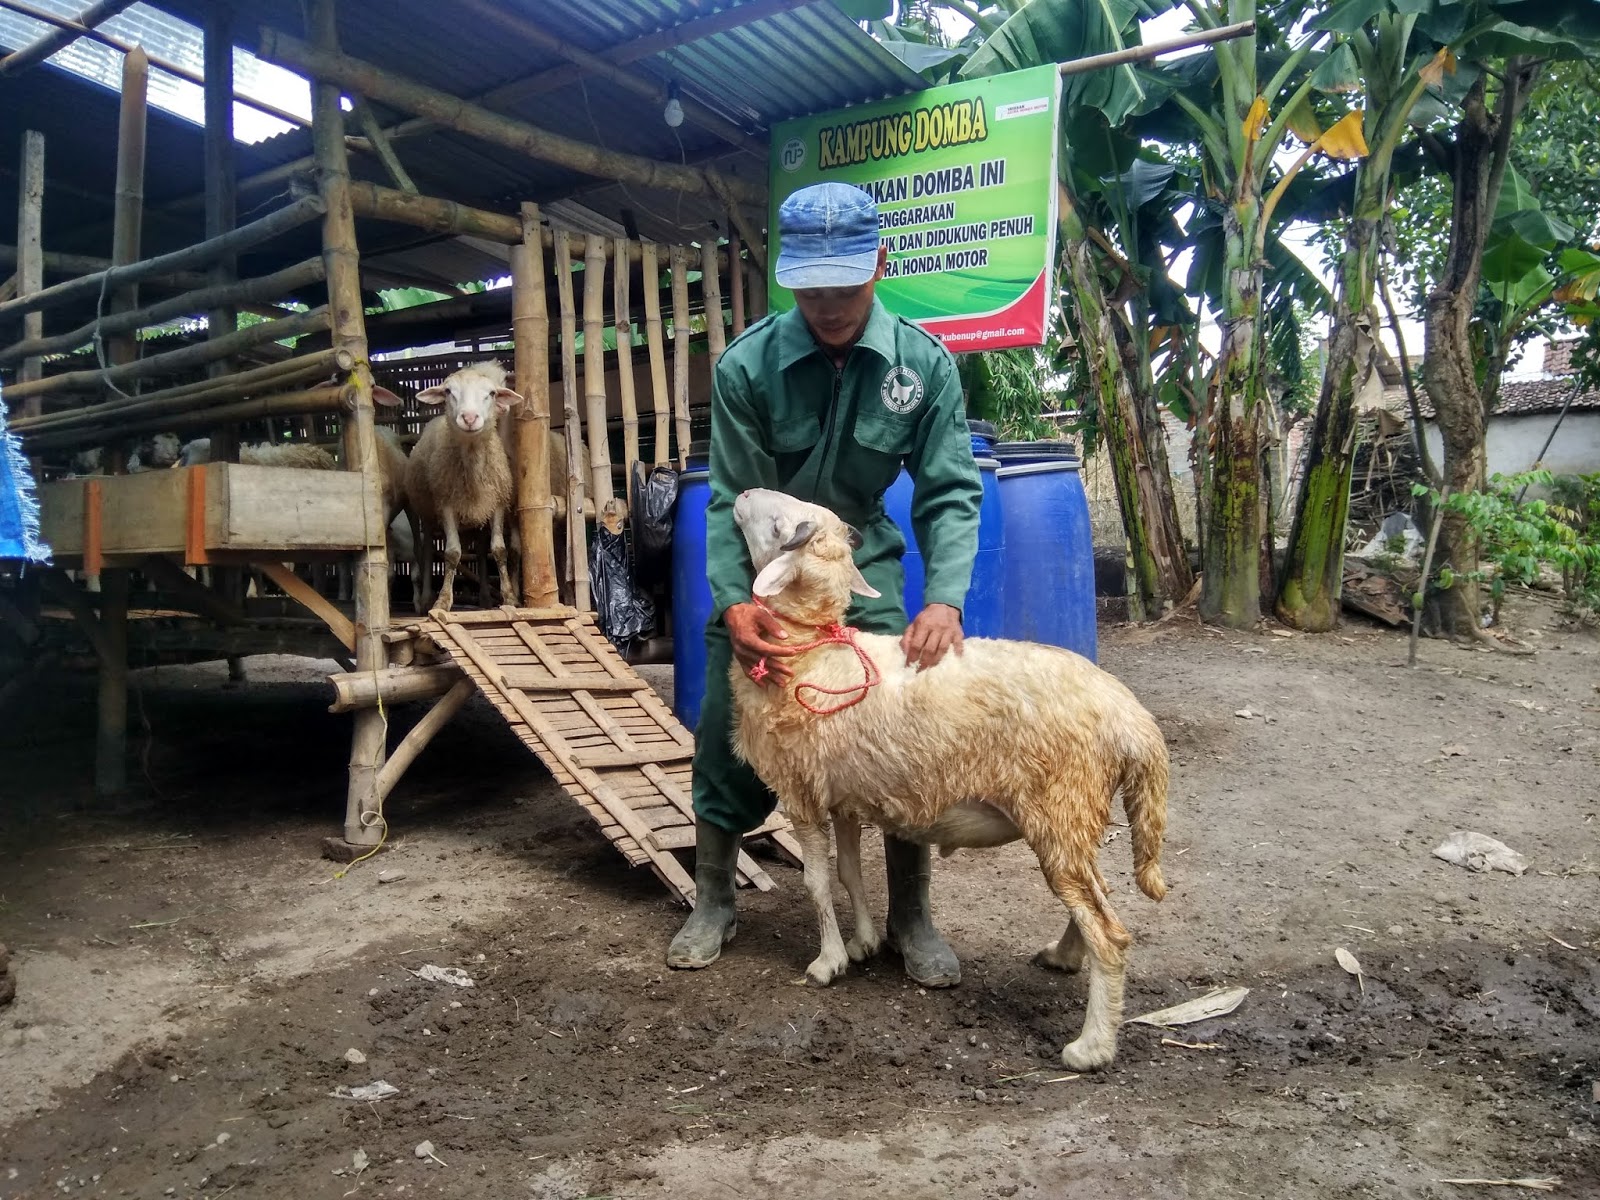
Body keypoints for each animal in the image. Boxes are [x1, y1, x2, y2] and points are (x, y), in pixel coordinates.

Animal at [732, 492, 1171, 1075]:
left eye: (780, 527)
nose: (740, 496)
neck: (813, 652)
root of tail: (1131, 718)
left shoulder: (802, 791)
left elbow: (817, 882)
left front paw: (827, 963)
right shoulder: (844, 794)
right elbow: (849, 872)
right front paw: (864, 943)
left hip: (1060, 807)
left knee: (1112, 935)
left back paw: (1091, 1047)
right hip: (1076, 817)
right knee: (1097, 900)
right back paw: (1063, 957)